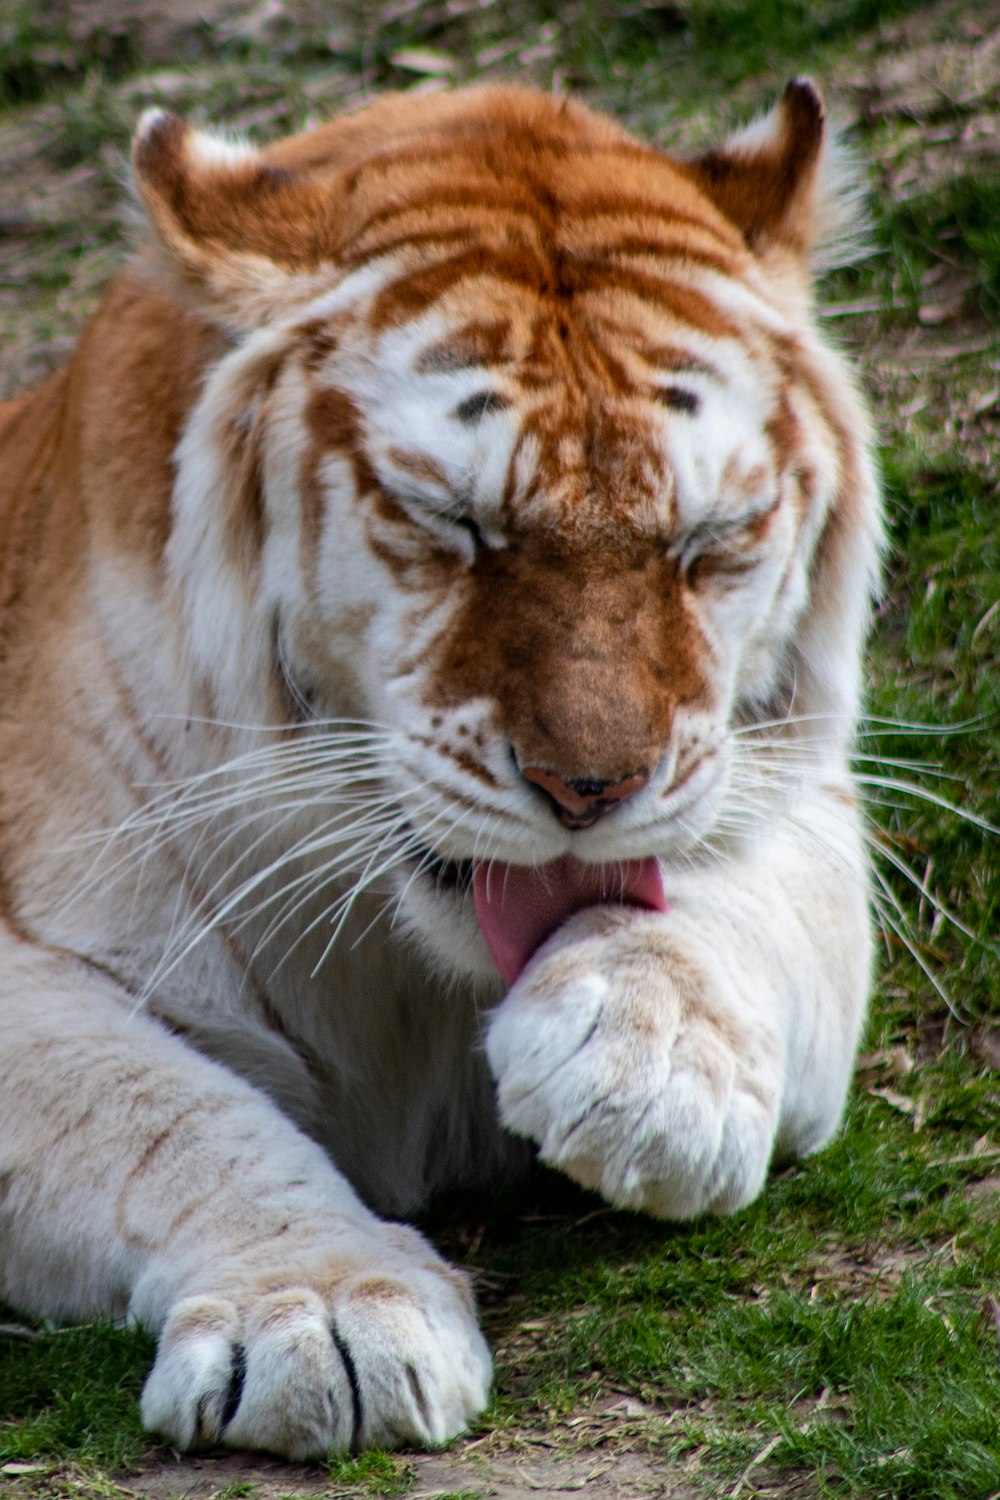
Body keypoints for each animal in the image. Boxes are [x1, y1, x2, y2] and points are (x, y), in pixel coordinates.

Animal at [0, 79, 875, 1452]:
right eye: (452, 524)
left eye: (708, 540)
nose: (591, 790)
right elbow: (159, 1115)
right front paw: (320, 1306)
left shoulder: (804, 798)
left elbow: (745, 904)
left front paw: (645, 1053)